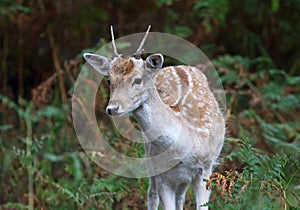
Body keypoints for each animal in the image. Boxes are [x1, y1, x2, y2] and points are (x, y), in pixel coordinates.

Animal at [83, 26, 224, 210]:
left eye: (137, 80)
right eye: (108, 79)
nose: (112, 108)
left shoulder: (205, 168)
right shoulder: (162, 174)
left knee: (180, 196)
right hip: (149, 158)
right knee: (152, 194)